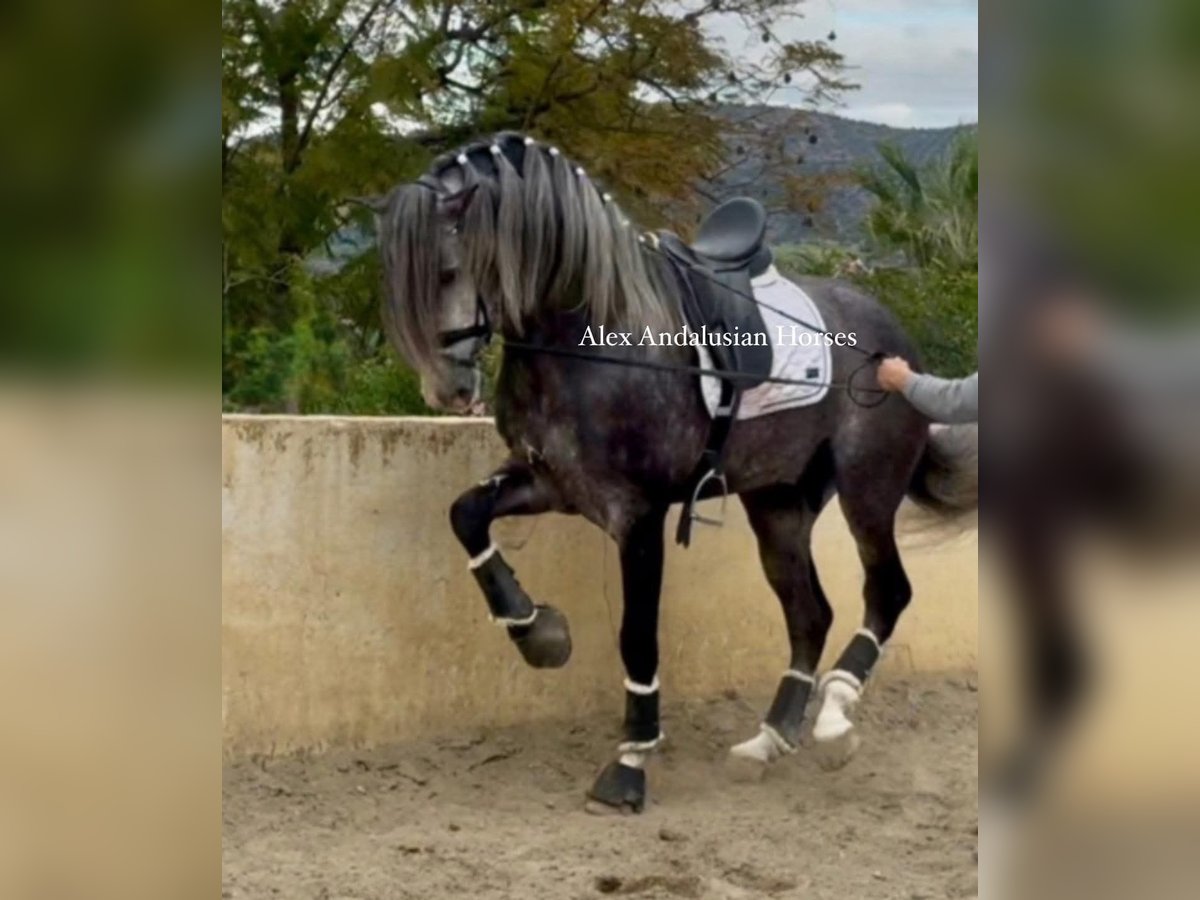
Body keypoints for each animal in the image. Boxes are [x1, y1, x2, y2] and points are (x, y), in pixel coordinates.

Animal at [374, 133, 974, 816]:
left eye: (448, 270)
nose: (445, 389)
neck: (592, 334)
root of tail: (896, 346)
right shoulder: (550, 482)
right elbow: (466, 514)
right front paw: (537, 632)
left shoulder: (638, 514)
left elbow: (637, 634)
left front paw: (629, 763)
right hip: (777, 503)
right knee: (809, 614)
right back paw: (767, 740)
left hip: (867, 491)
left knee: (886, 593)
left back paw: (834, 719)